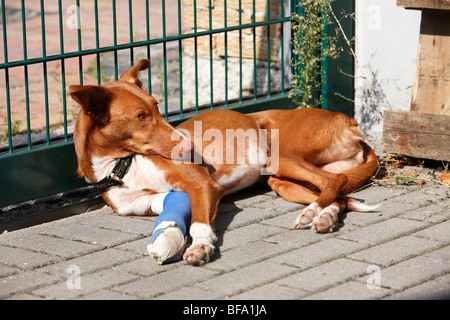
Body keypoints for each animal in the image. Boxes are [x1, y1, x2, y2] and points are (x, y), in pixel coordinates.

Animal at [70, 58, 380, 266]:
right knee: (340, 197)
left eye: (156, 107)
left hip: (278, 156)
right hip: (282, 181)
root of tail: (350, 121)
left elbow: (198, 222)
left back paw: (312, 213)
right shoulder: (151, 202)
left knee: (335, 181)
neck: (122, 167)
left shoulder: (201, 184)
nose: (189, 147)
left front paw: (201, 247)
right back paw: (324, 216)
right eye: (140, 116)